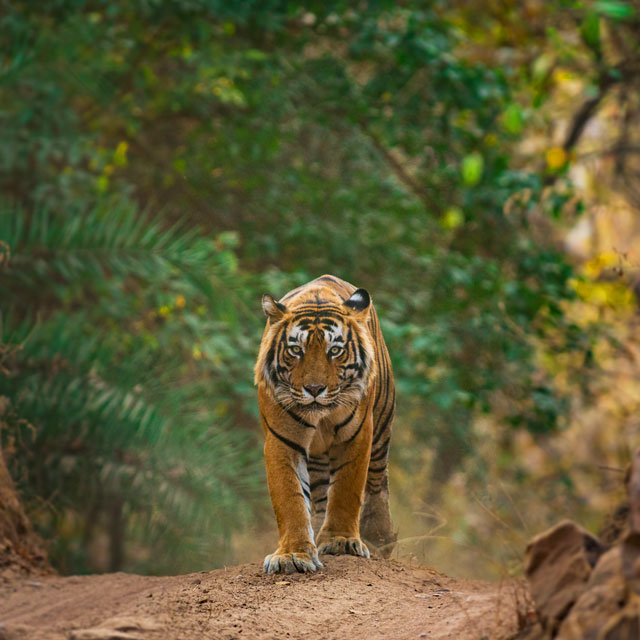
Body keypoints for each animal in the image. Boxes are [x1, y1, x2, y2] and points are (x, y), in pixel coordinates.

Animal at [254, 274, 396, 574]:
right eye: (296, 350)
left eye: (335, 351)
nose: (314, 389)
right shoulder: (281, 440)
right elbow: (291, 498)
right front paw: (293, 554)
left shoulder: (357, 436)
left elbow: (346, 490)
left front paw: (341, 542)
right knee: (319, 496)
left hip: (381, 428)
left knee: (377, 481)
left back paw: (379, 539)